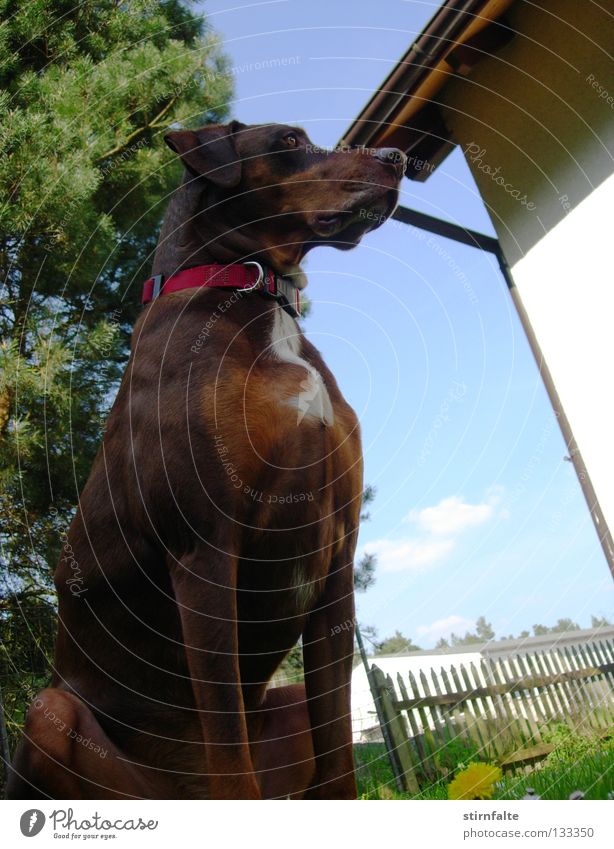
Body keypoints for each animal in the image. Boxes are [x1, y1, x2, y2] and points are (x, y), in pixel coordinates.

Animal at [8, 122, 410, 800]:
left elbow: (339, 757)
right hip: (50, 712)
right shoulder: (205, 554)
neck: (249, 289)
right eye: (288, 140)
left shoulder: (336, 565)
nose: (398, 157)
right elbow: (229, 747)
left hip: (288, 709)